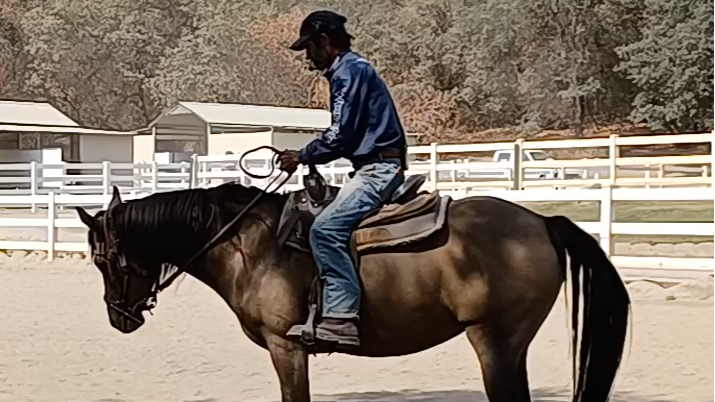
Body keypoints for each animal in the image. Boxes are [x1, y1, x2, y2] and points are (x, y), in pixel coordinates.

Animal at [75, 175, 630, 402]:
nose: (119, 317)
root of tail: (541, 221)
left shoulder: (286, 347)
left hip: (494, 341)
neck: (251, 244)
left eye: (102, 259)